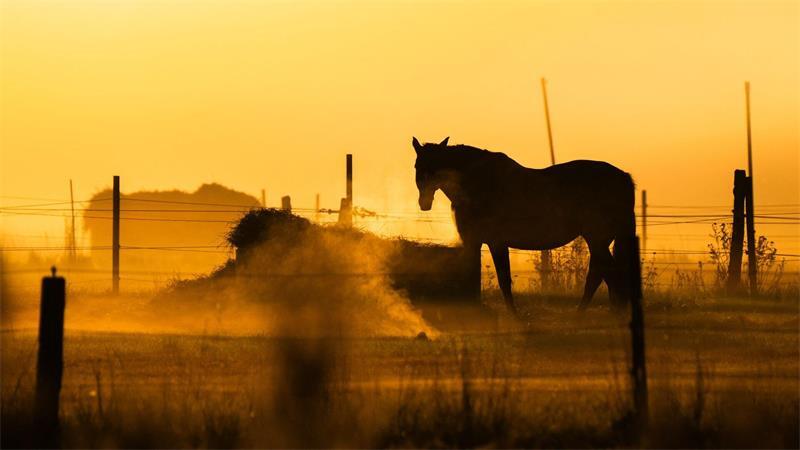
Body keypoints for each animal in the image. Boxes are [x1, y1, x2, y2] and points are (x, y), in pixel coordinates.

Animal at [412, 136, 636, 314]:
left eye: (433, 166)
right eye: (417, 166)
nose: (424, 203)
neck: (478, 183)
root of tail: (623, 177)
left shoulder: (493, 242)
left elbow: (502, 279)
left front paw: (513, 314)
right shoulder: (477, 241)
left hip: (596, 237)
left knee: (604, 273)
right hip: (599, 239)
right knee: (601, 273)